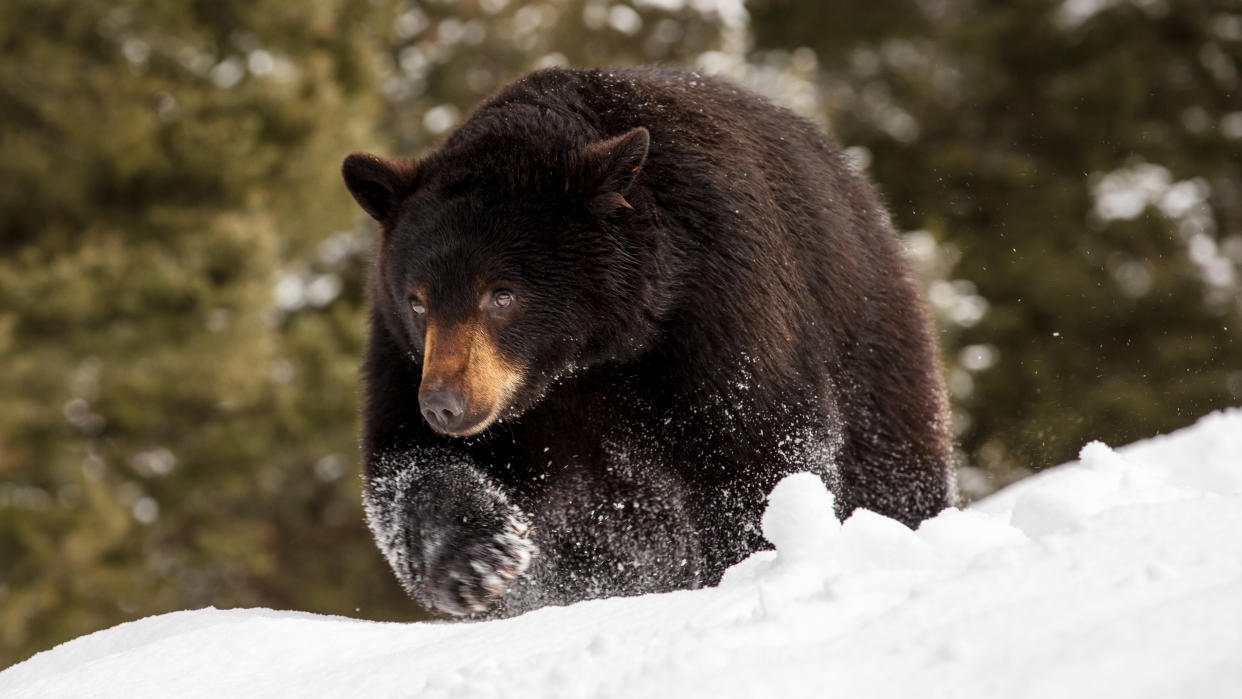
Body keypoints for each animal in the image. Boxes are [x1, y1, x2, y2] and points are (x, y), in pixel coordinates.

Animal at [340, 64, 948, 613]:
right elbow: (405, 460)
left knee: (894, 476)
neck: (587, 358)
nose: (445, 403)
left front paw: (751, 565)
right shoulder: (404, 350)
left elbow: (758, 448)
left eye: (502, 294)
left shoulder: (716, 302)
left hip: (871, 351)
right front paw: (478, 560)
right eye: (418, 300)